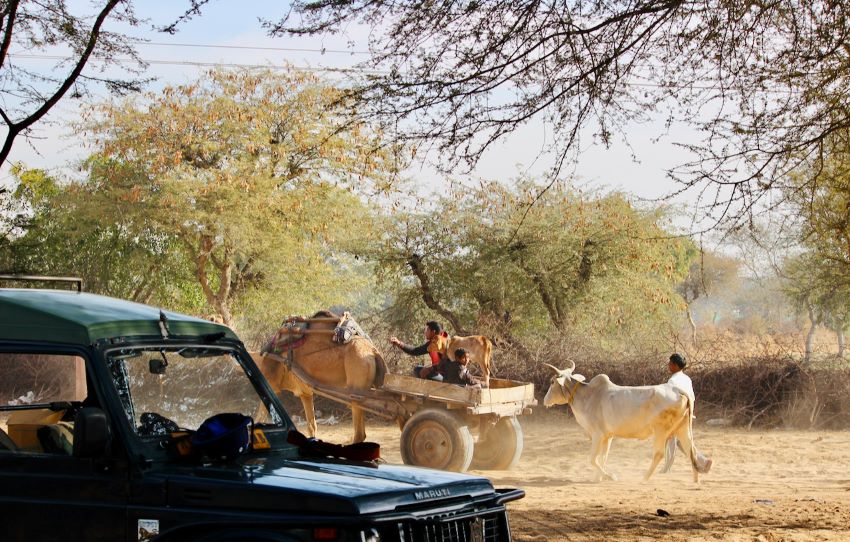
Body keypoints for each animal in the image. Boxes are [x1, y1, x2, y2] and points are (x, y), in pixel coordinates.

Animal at [250, 312, 386, 444]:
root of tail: (374, 352)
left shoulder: (271, 383)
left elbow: (260, 416)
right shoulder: (304, 392)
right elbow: (312, 426)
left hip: (356, 384)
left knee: (359, 433)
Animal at [548, 364, 700, 482]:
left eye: (552, 382)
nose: (545, 400)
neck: (589, 396)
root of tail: (679, 390)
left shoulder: (597, 435)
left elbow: (592, 459)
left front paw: (611, 476)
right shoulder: (607, 437)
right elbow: (602, 458)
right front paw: (597, 478)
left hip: (661, 431)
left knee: (659, 454)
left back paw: (644, 478)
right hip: (682, 429)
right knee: (691, 450)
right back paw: (695, 479)